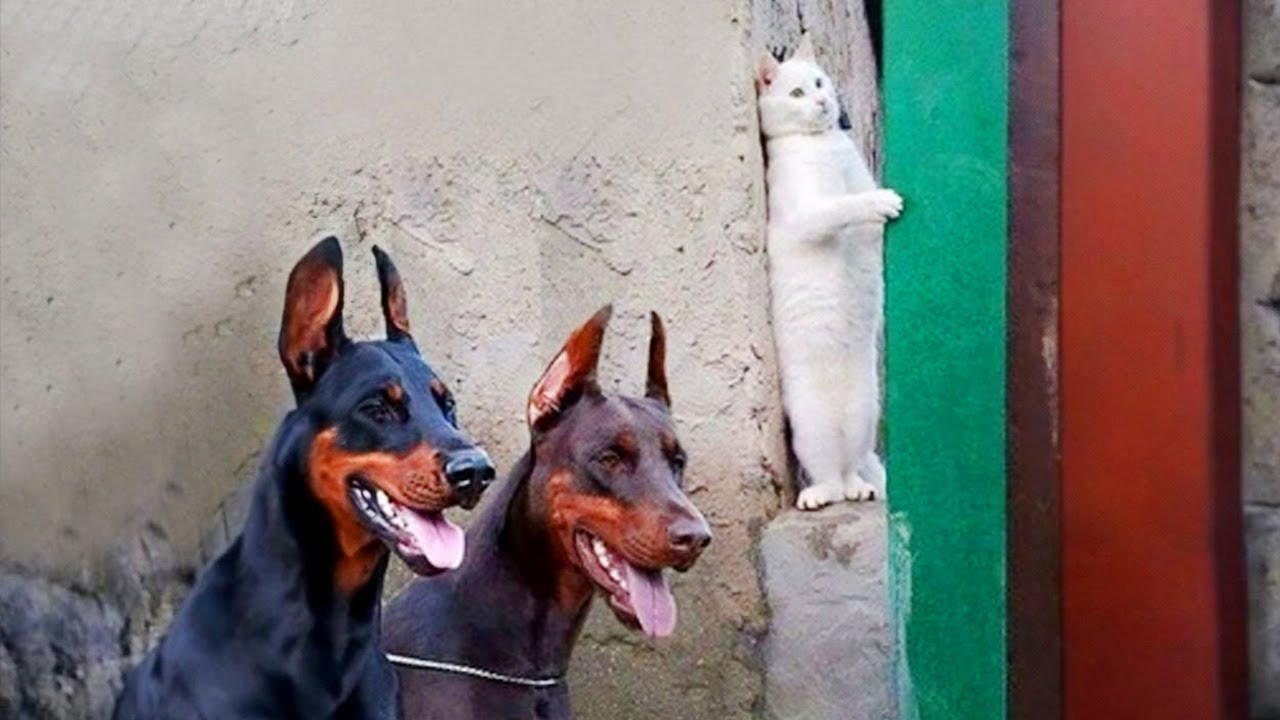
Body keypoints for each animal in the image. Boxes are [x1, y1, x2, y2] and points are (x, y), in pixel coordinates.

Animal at [752, 33, 906, 509]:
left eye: (819, 82)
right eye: (797, 93)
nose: (822, 101)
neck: (821, 145)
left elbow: (860, 205)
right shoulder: (805, 215)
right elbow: (842, 206)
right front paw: (880, 202)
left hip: (865, 414)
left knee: (851, 469)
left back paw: (861, 487)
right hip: (810, 424)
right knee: (825, 476)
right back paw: (818, 494)